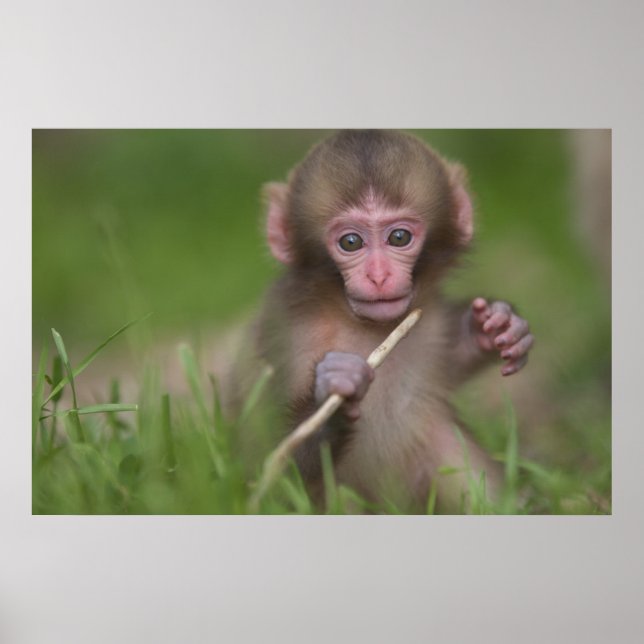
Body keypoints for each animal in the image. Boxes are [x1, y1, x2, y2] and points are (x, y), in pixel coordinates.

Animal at [234, 130, 534, 513]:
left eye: (399, 237)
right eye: (350, 242)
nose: (379, 276)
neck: (353, 318)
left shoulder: (430, 320)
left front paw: (495, 327)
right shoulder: (287, 335)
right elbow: (271, 462)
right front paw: (334, 389)